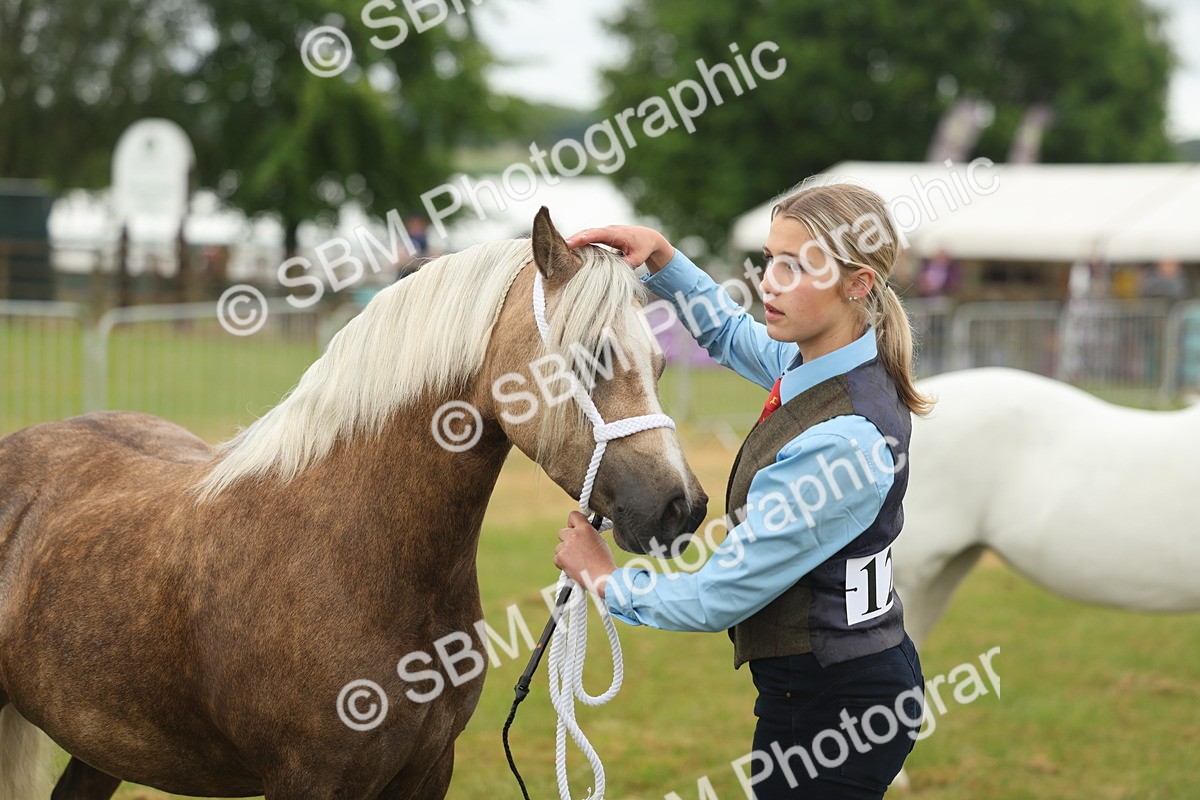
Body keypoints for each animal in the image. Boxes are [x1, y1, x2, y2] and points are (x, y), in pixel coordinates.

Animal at [0, 208, 708, 800]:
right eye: (591, 354)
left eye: (659, 363)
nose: (684, 507)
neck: (356, 551)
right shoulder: (310, 782)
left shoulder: (427, 772)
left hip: (104, 747)